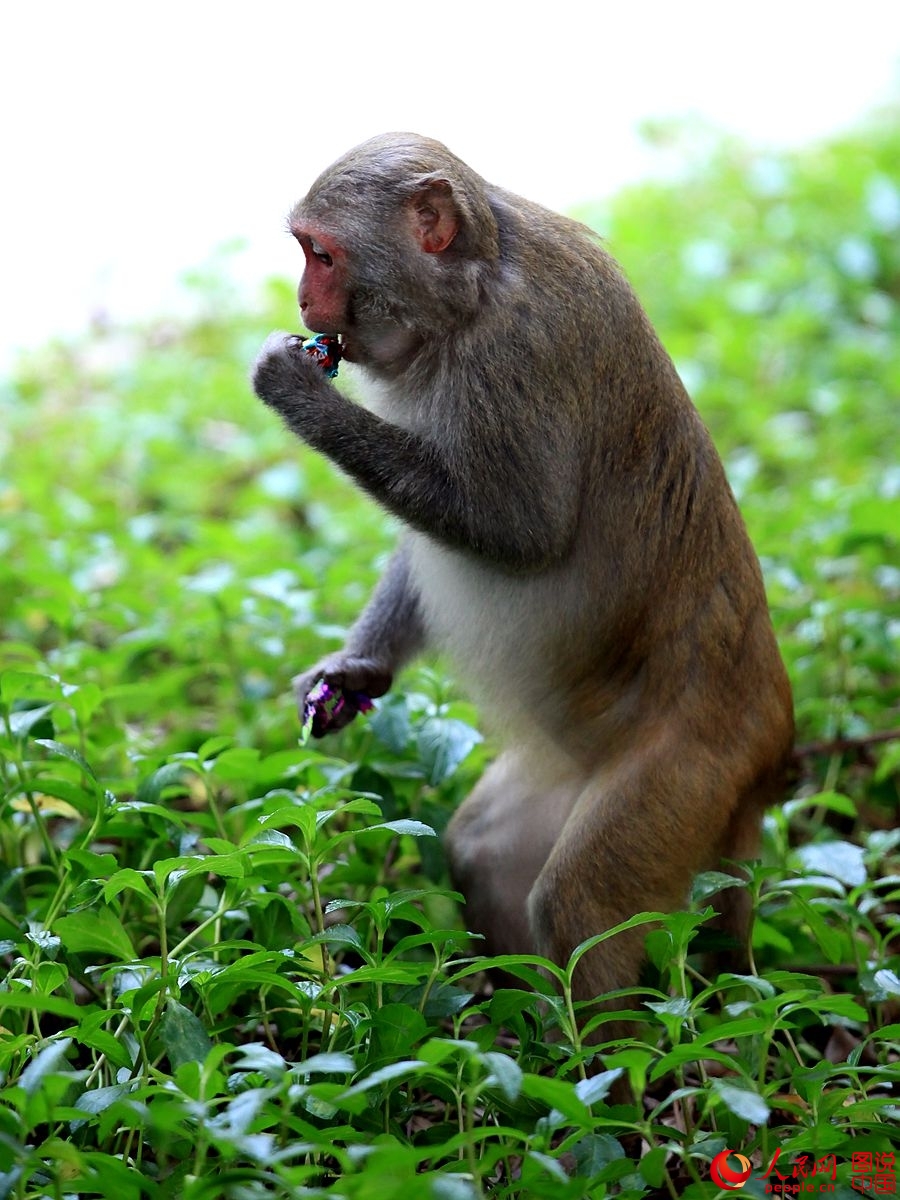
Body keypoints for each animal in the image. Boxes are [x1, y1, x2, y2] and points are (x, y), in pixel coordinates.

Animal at [254, 131, 796, 1046]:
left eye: (319, 253)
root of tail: (771, 745)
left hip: (688, 771)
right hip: (580, 771)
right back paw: (523, 1035)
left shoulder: (519, 353)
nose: (300, 298)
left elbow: (522, 530)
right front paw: (355, 672)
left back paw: (602, 1074)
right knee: (481, 849)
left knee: (584, 902)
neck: (470, 294)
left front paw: (298, 395)